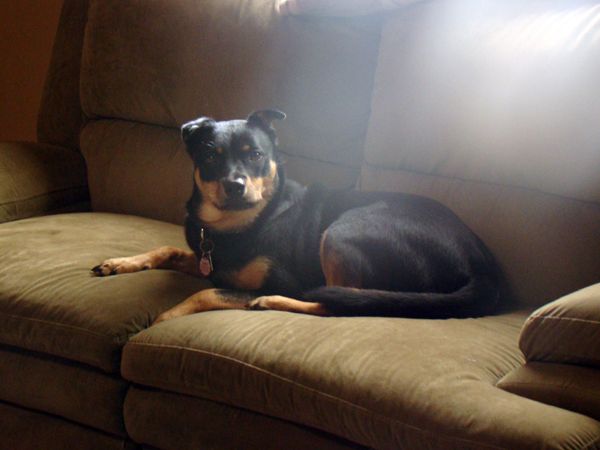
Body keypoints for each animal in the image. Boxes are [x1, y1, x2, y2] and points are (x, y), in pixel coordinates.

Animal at [92, 109, 506, 324]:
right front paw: (120, 263)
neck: (240, 224)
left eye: (256, 155)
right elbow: (169, 250)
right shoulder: (209, 261)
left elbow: (207, 291)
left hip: (345, 229)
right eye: (210, 156)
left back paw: (272, 302)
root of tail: (485, 270)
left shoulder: (282, 278)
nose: (235, 186)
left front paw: (164, 317)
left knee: (339, 304)